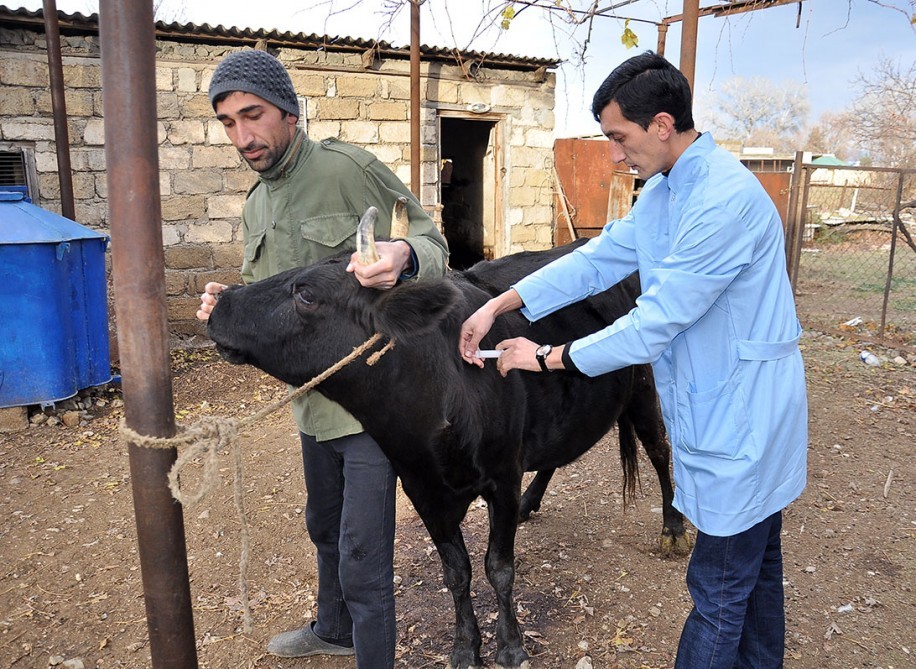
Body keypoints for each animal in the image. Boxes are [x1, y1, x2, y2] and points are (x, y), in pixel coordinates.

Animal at [209, 243, 688, 664]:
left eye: (306, 293)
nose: (218, 302)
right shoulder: (422, 488)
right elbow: (456, 573)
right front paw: (464, 647)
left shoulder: (501, 475)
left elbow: (499, 567)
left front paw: (510, 646)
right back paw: (532, 503)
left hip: (643, 383)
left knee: (660, 450)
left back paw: (673, 529)